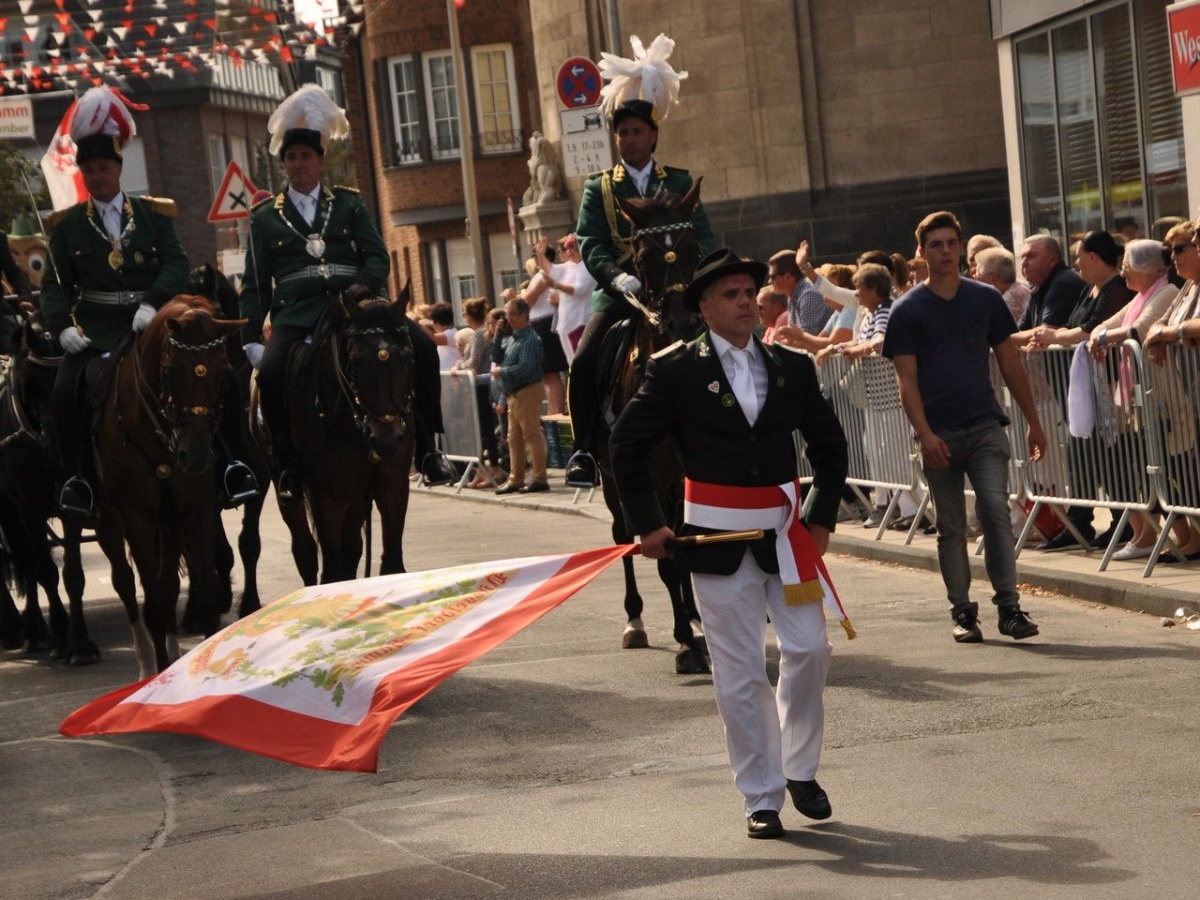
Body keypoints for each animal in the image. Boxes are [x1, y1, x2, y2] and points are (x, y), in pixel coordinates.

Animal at [84, 296, 243, 676]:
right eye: (173, 371)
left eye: (224, 372)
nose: (195, 456)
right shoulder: (137, 517)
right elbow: (153, 601)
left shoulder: (195, 510)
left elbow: (206, 589)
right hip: (107, 519)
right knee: (125, 583)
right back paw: (146, 663)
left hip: (169, 523)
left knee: (169, 582)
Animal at [253, 286, 417, 585]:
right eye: (356, 360)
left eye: (408, 355)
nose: (387, 441)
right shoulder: (326, 496)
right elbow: (331, 573)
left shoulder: (393, 486)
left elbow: (391, 567)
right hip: (286, 485)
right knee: (305, 550)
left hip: (355, 497)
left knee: (351, 547)